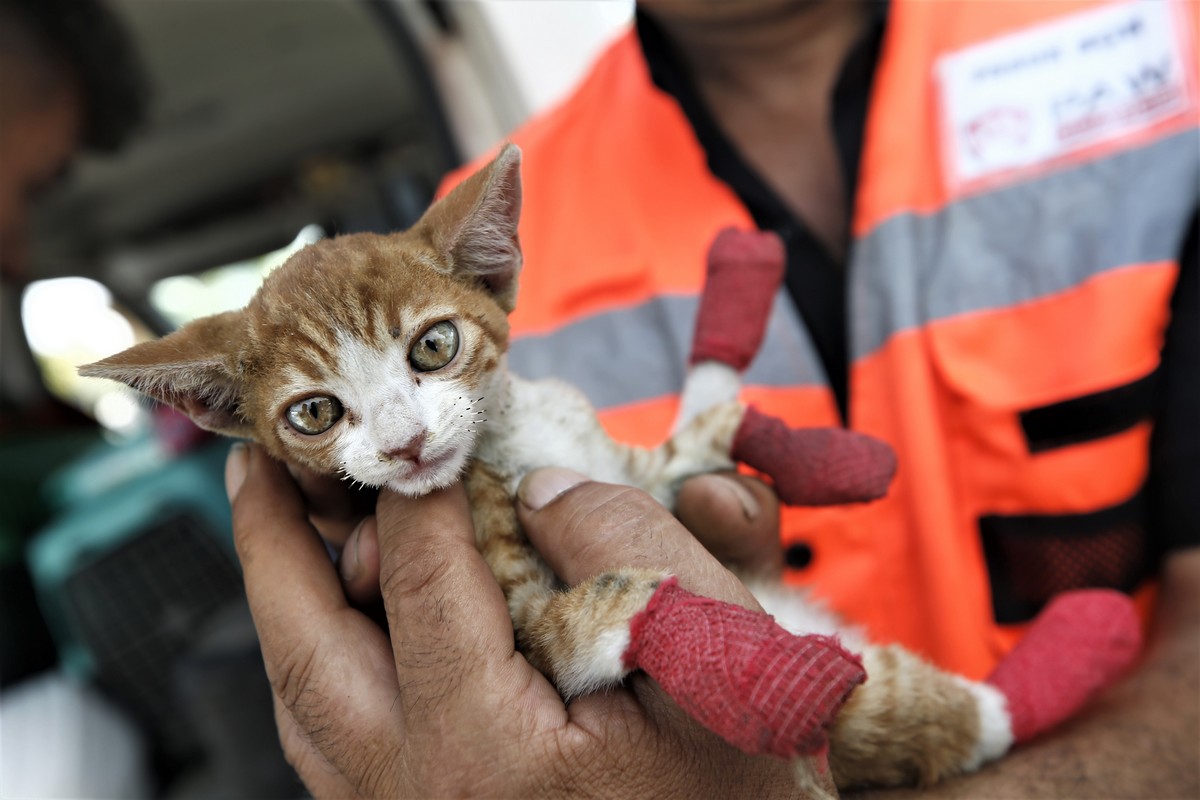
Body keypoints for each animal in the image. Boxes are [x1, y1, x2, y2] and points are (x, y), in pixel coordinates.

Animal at [82, 145, 1123, 796]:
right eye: (314, 413)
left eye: (432, 347)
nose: (406, 445)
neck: (510, 443)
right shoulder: (519, 607)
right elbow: (578, 626)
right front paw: (736, 659)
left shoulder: (621, 458)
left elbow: (702, 430)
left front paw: (822, 445)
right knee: (925, 716)